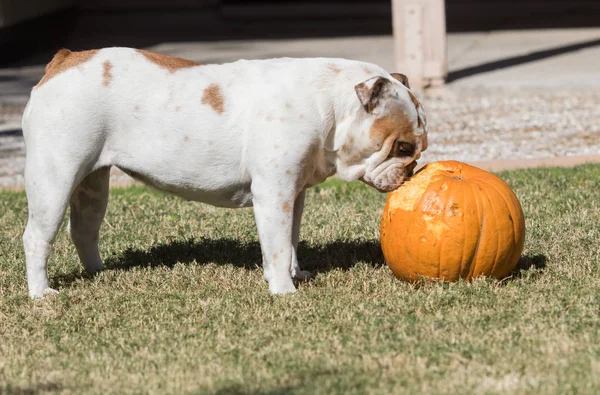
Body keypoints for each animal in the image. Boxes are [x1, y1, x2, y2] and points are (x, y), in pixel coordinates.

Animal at [22, 48, 426, 298]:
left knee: (83, 229)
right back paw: (41, 293)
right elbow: (277, 245)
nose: (412, 170)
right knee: (37, 237)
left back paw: (99, 273)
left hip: (93, 184)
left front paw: (297, 273)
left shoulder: (294, 193)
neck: (330, 105)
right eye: (404, 148)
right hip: (54, 178)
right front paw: (284, 290)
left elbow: (291, 239)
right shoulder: (274, 195)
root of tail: (63, 61)